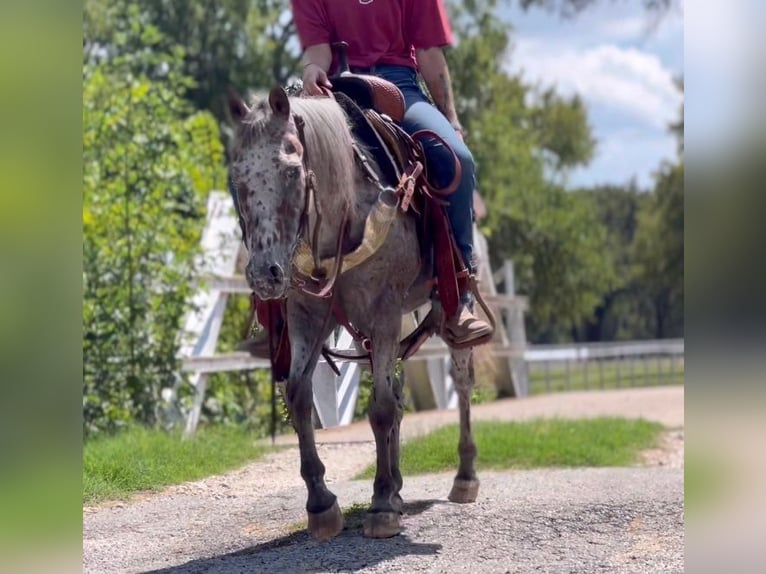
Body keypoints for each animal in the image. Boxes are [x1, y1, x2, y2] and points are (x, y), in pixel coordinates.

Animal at [228, 86, 480, 544]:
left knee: (462, 382)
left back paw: (464, 476)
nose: (264, 274)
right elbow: (299, 395)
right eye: (237, 178)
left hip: (444, 309)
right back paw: (397, 484)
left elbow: (379, 408)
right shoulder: (308, 314)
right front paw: (322, 502)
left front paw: (381, 507)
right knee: (397, 393)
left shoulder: (382, 311)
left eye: (291, 172)